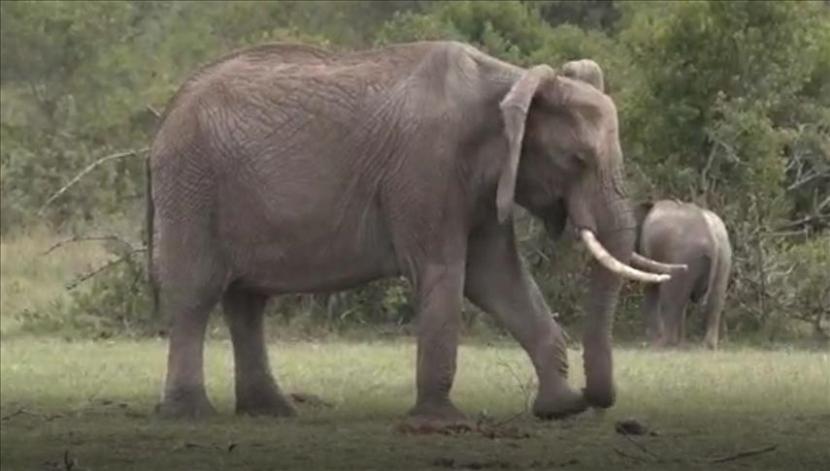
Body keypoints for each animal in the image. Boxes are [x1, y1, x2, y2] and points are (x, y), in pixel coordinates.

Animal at [148, 40, 676, 424]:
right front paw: (443, 422)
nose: (594, 396)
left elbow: (499, 279)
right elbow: (447, 272)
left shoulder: (483, 186)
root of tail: (168, 112)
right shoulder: (428, 168)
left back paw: (270, 412)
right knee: (196, 294)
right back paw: (192, 414)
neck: (509, 82)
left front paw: (559, 409)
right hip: (193, 184)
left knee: (247, 300)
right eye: (577, 160)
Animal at [636, 200, 736, 350]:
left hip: (685, 256)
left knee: (670, 296)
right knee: (715, 298)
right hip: (724, 256)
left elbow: (651, 285)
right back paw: (706, 346)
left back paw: (662, 345)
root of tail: (711, 236)